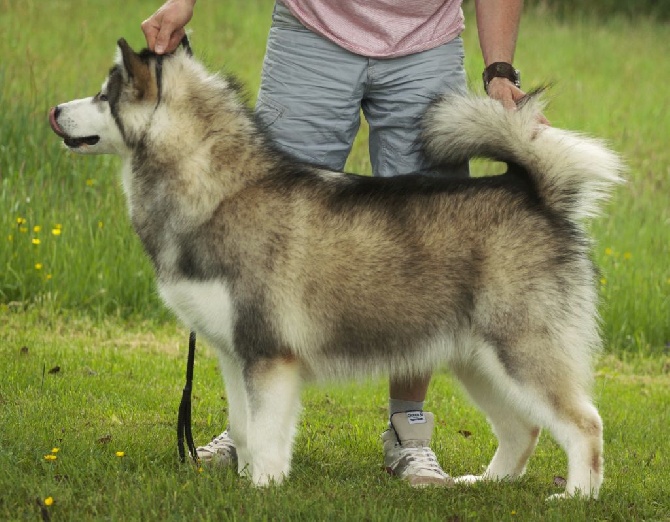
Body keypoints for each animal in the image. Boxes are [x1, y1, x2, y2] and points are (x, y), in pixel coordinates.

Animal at [48, 37, 624, 496]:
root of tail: (531, 190)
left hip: (521, 352)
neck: (217, 190)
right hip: (477, 361)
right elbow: (243, 428)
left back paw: (576, 496)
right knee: (522, 429)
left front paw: (262, 489)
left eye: (104, 95)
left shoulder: (270, 357)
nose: (54, 110)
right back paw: (484, 484)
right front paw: (246, 480)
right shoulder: (235, 355)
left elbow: (267, 432)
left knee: (585, 424)